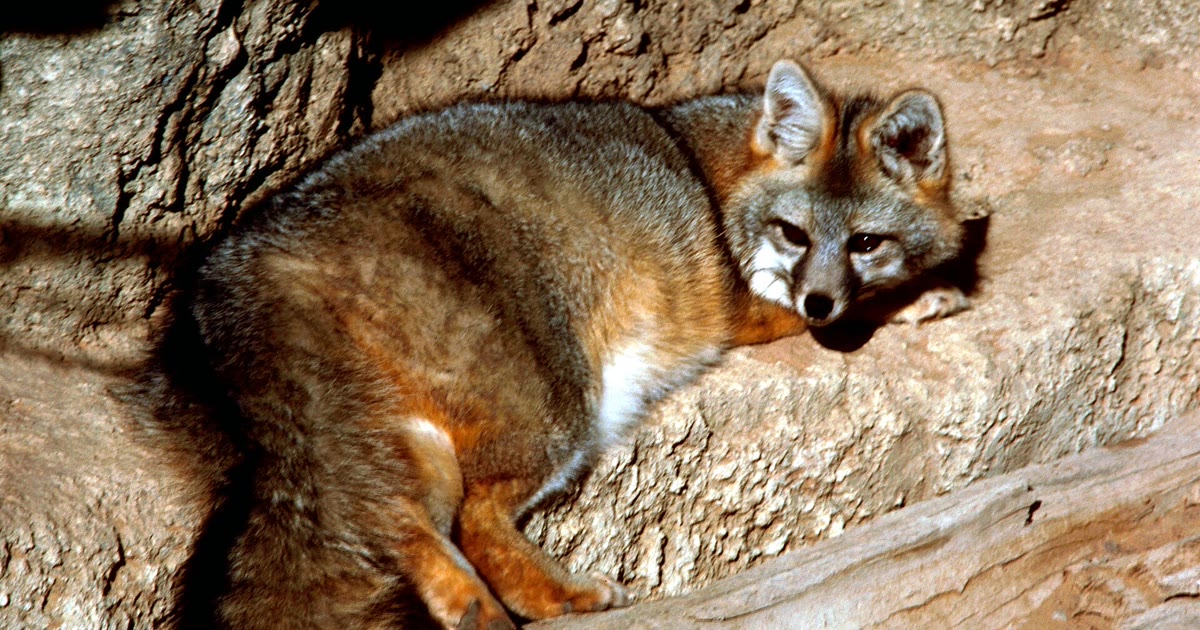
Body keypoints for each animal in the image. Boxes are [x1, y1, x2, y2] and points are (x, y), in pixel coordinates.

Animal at [171, 59, 969, 629]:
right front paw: (926, 291)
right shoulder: (746, 305)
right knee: (475, 520)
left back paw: (471, 609)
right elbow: (848, 313)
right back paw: (552, 600)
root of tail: (250, 249)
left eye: (865, 242)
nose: (820, 296)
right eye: (794, 235)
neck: (720, 172)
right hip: (558, 410)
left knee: (399, 521)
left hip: (403, 441)